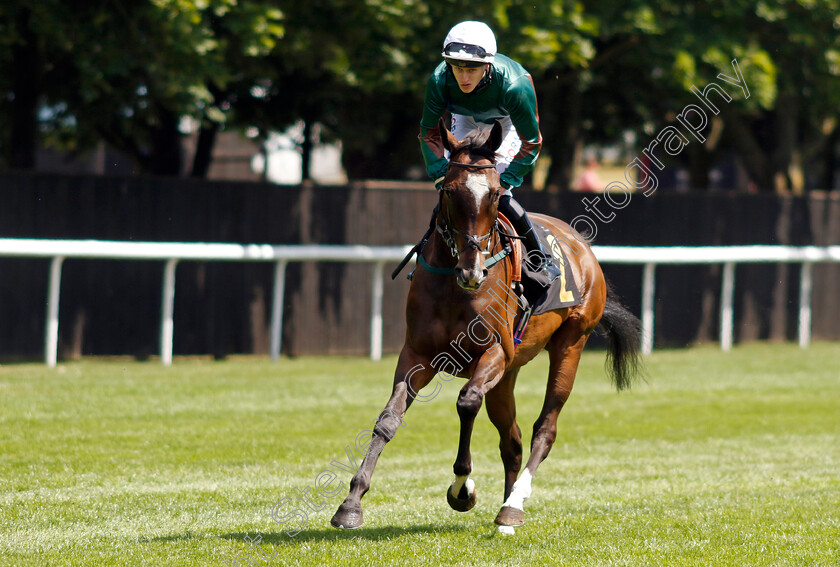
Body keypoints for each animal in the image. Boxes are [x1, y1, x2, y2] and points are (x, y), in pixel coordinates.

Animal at [330, 120, 644, 532]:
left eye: (495, 194)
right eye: (449, 190)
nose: (472, 271)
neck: (455, 286)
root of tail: (584, 249)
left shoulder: (493, 351)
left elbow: (466, 402)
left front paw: (462, 488)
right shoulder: (417, 355)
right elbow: (387, 419)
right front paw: (351, 503)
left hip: (570, 344)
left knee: (545, 428)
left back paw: (514, 505)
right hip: (507, 374)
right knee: (512, 440)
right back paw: (507, 506)